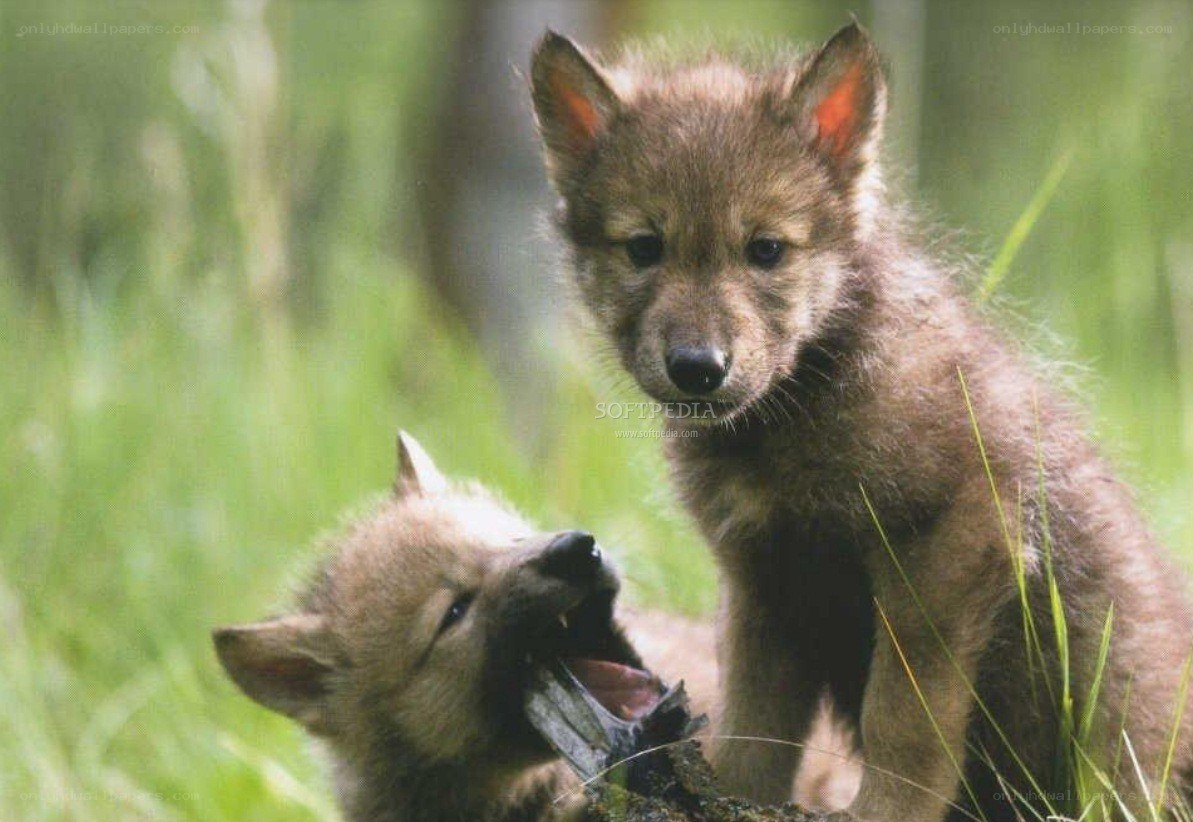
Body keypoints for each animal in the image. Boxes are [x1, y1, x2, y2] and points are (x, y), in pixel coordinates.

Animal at [530, 21, 1193, 821]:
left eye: (765, 250)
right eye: (643, 248)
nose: (698, 366)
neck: (798, 405)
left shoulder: (950, 545)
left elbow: (902, 719)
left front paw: (883, 810)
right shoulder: (761, 577)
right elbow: (753, 726)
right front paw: (730, 795)